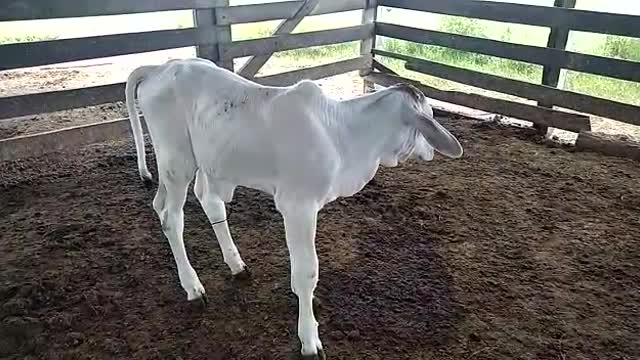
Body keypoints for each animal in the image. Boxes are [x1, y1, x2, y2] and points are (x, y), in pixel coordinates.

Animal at [125, 57, 462, 358]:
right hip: (176, 162)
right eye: (430, 115)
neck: (345, 134)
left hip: (210, 162)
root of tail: (161, 67)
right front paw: (309, 339)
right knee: (170, 217)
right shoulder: (298, 206)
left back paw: (236, 266)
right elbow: (307, 270)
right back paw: (194, 288)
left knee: (208, 201)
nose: (432, 150)